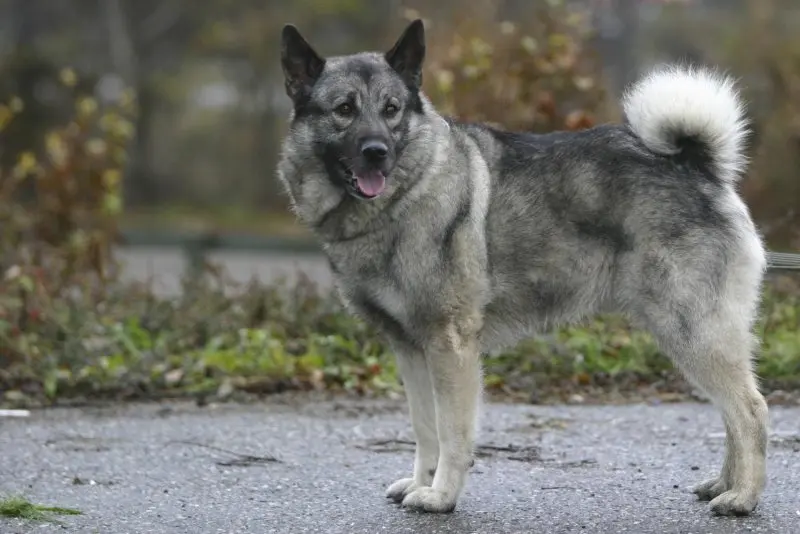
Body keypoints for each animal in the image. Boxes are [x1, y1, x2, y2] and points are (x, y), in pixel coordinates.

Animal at [276, 17, 768, 520]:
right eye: (344, 109)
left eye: (391, 110)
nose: (377, 151)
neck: (407, 194)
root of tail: (697, 166)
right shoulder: (410, 350)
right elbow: (424, 428)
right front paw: (420, 483)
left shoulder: (450, 347)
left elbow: (452, 433)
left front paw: (441, 496)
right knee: (732, 414)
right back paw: (723, 485)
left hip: (692, 331)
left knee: (750, 410)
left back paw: (743, 497)